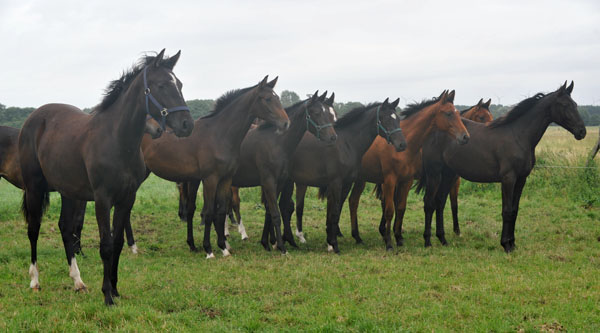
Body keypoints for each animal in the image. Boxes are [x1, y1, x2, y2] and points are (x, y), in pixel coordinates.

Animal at [18, 49, 193, 304]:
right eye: (161, 85)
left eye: (179, 84)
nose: (187, 125)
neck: (117, 141)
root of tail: (33, 119)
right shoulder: (103, 199)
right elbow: (106, 245)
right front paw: (108, 295)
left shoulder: (126, 199)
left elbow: (118, 243)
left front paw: (115, 288)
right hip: (34, 188)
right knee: (33, 229)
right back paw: (35, 281)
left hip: (69, 192)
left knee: (65, 228)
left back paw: (78, 281)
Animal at [141, 74, 290, 256]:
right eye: (268, 99)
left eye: (277, 98)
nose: (285, 123)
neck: (218, 134)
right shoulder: (210, 179)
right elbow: (209, 212)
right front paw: (209, 249)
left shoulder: (225, 179)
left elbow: (221, 210)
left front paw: (223, 246)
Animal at [278, 98, 406, 252]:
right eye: (386, 119)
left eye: (398, 119)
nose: (402, 144)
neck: (346, 144)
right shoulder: (336, 183)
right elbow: (334, 212)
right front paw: (334, 245)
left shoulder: (345, 183)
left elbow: (334, 211)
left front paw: (330, 242)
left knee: (284, 206)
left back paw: (286, 240)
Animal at [344, 89, 472, 250]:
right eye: (449, 113)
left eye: (457, 113)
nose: (465, 137)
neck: (406, 146)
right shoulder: (390, 181)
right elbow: (390, 210)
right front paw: (389, 242)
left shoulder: (406, 181)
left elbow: (401, 208)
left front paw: (398, 238)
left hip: (361, 179)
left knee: (353, 201)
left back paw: (357, 237)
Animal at [418, 81, 584, 252]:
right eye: (565, 105)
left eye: (575, 104)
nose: (581, 131)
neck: (519, 136)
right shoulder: (508, 179)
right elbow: (507, 211)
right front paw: (506, 244)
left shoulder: (521, 179)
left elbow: (514, 210)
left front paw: (512, 243)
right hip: (434, 173)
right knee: (429, 202)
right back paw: (427, 241)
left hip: (448, 174)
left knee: (440, 202)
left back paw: (442, 239)